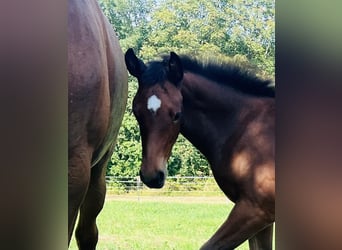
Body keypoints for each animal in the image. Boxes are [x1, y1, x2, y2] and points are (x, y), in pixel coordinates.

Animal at [125, 47, 276, 249]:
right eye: (136, 112)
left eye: (177, 114)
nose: (152, 176)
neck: (247, 125)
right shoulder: (260, 217)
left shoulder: (257, 209)